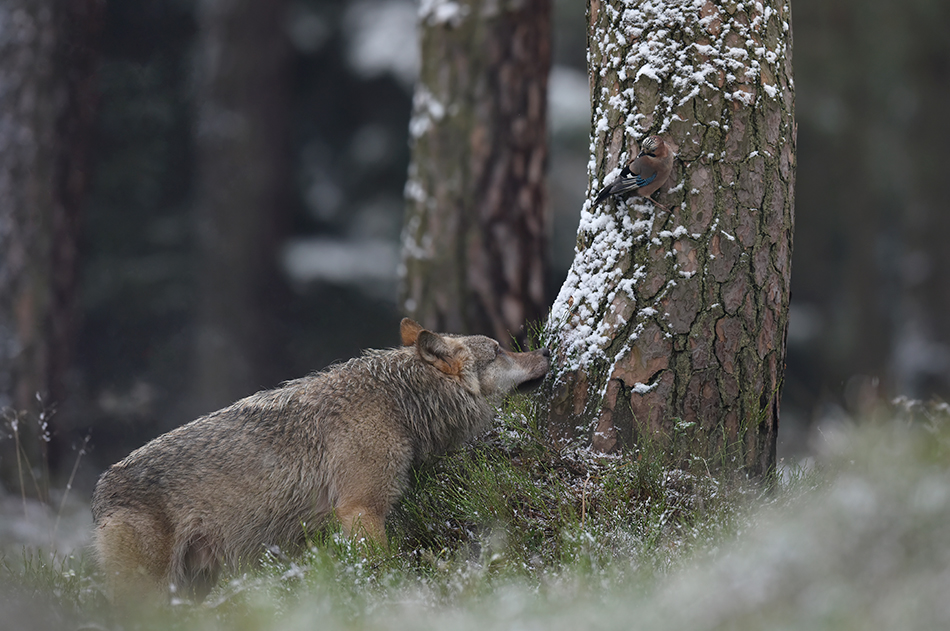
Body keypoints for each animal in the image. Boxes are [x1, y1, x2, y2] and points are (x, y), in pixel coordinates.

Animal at [91, 320, 552, 604]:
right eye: (499, 350)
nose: (547, 350)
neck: (398, 402)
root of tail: (100, 489)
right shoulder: (362, 510)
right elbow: (381, 568)